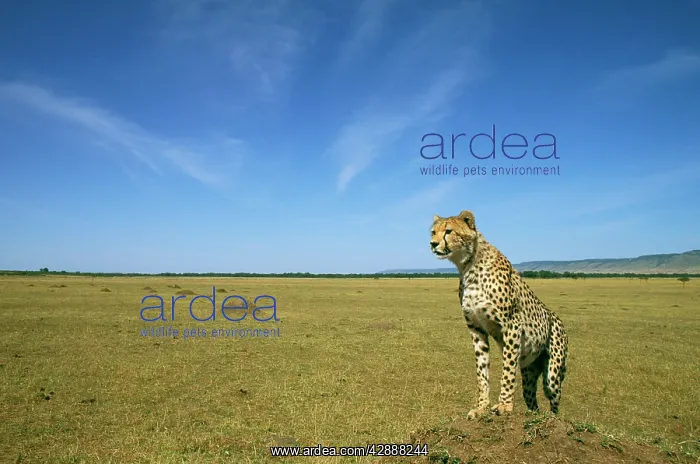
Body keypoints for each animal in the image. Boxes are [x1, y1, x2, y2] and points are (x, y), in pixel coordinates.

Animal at [430, 210, 568, 420]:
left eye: (448, 231)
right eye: (433, 232)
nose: (433, 244)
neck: (468, 265)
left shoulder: (512, 324)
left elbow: (508, 369)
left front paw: (504, 405)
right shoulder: (476, 329)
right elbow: (482, 372)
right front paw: (481, 407)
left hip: (552, 374)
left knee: (554, 401)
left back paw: (552, 418)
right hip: (529, 371)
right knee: (532, 401)